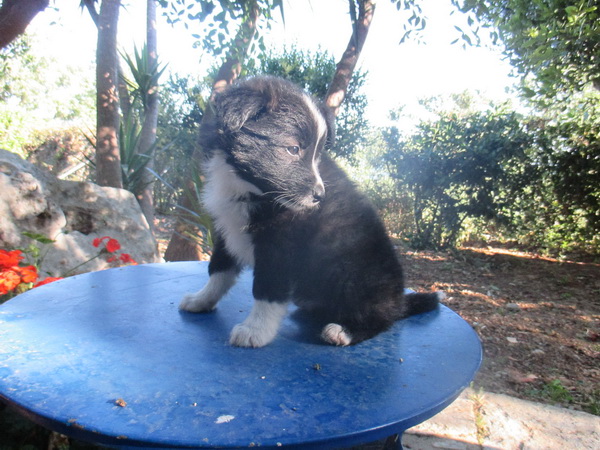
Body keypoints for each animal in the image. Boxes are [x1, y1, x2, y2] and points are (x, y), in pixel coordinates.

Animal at [180, 76, 442, 347]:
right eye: (293, 149)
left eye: (316, 154)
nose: (319, 196)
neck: (249, 188)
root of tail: (398, 300)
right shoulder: (226, 229)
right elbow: (218, 269)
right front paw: (202, 300)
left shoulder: (280, 247)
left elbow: (266, 289)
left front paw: (256, 330)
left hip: (357, 271)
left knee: (381, 317)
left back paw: (344, 330)